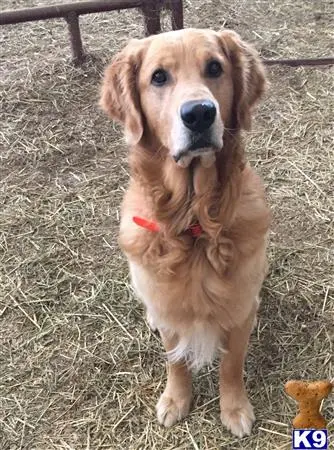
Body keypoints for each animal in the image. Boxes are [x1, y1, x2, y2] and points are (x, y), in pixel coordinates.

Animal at [100, 27, 270, 436]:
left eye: (215, 68)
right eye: (159, 77)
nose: (199, 113)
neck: (194, 223)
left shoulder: (239, 312)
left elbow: (231, 365)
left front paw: (234, 408)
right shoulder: (169, 310)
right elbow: (175, 361)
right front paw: (176, 400)